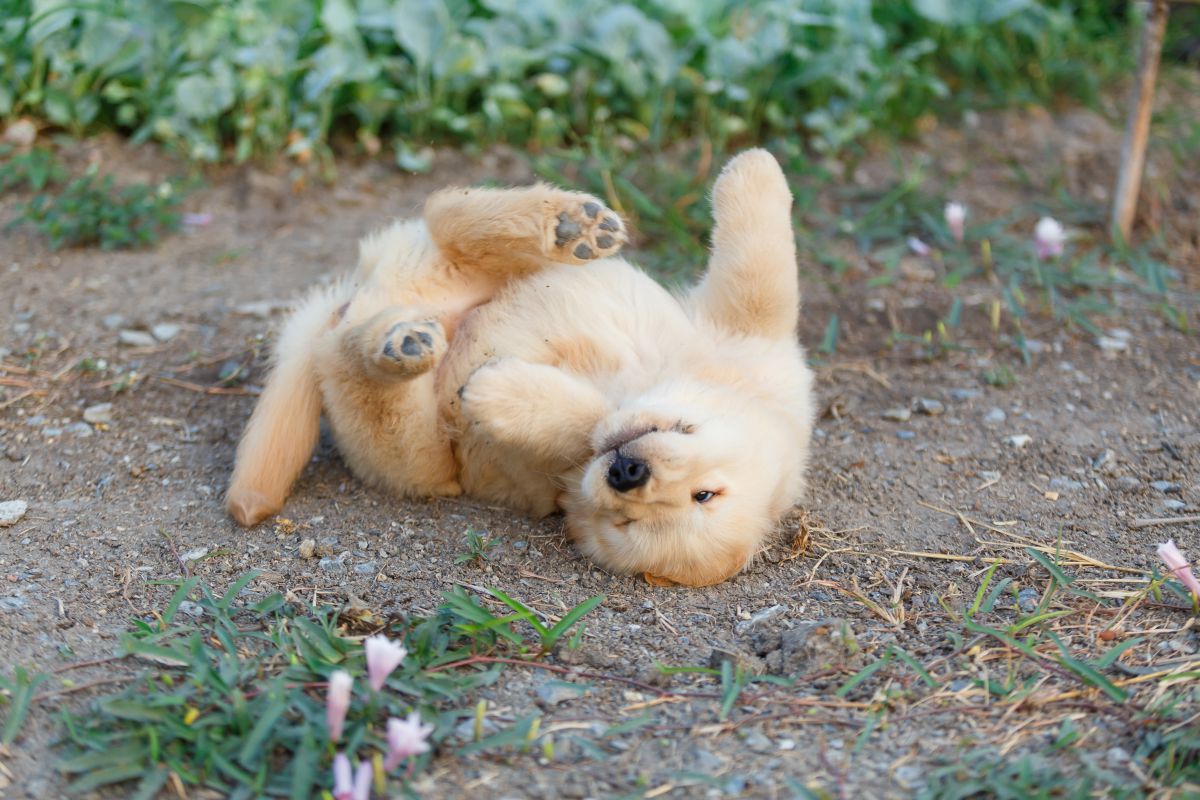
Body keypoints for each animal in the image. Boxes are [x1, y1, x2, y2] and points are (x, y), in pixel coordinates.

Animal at [225, 149, 816, 587]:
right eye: (707, 493)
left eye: (629, 522)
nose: (628, 473)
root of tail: (355, 303)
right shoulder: (753, 342)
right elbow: (763, 278)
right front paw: (756, 166)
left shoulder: (568, 473)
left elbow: (580, 420)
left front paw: (496, 393)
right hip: (465, 263)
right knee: (449, 211)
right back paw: (568, 223)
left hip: (410, 455)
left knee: (355, 361)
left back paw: (402, 343)